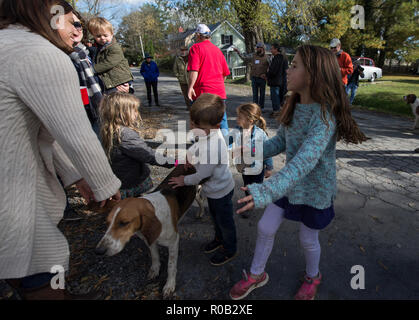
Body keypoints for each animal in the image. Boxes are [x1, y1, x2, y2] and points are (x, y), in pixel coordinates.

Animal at [94, 165, 205, 298]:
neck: (156, 211)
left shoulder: (173, 242)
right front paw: (155, 270)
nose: (99, 251)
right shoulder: (150, 239)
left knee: (201, 200)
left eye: (124, 223)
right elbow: (155, 256)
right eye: (107, 222)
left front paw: (169, 285)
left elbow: (171, 266)